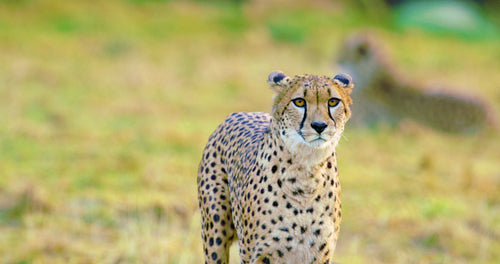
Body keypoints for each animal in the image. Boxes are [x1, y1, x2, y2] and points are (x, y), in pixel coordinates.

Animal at [197, 71, 354, 262]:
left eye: (333, 101)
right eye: (299, 101)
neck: (307, 173)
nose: (319, 126)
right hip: (215, 233)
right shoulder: (255, 254)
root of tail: (237, 114)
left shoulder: (319, 255)